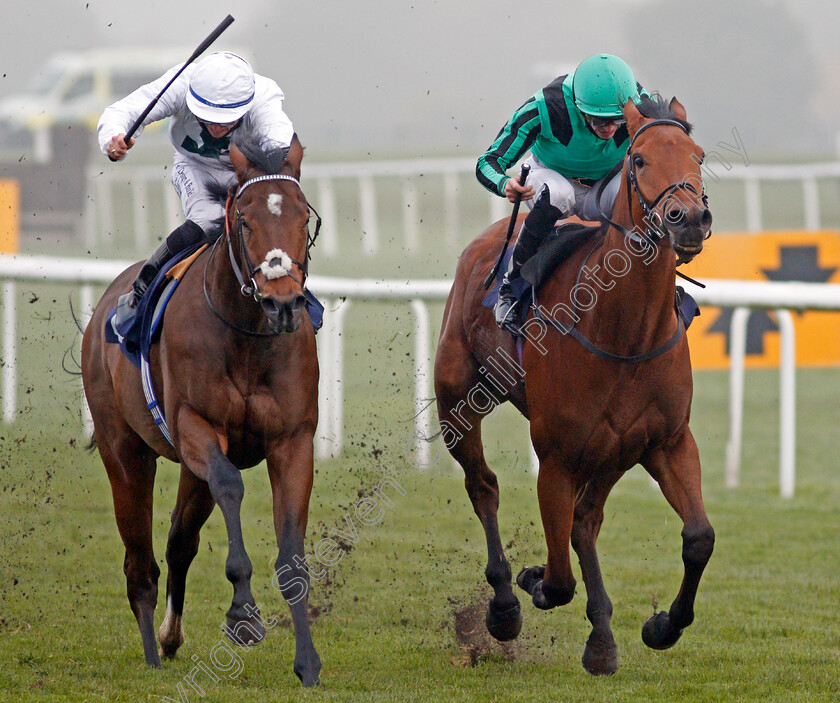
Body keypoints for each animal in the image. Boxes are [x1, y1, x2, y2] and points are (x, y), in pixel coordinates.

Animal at [80, 136, 322, 688]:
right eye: (246, 221)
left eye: (303, 218)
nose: (283, 304)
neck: (247, 335)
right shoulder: (198, 425)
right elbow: (231, 485)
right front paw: (242, 615)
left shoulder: (293, 440)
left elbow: (292, 556)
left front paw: (308, 662)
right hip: (125, 451)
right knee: (140, 564)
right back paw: (152, 652)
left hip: (191, 471)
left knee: (178, 542)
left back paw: (169, 637)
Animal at [434, 97, 716, 676]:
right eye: (639, 159)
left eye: (698, 155)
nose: (689, 219)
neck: (625, 332)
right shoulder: (557, 455)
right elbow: (559, 577)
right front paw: (531, 582)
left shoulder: (667, 441)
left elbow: (699, 538)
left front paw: (661, 626)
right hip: (457, 403)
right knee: (483, 486)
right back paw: (504, 604)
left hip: (614, 450)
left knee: (586, 520)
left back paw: (602, 638)